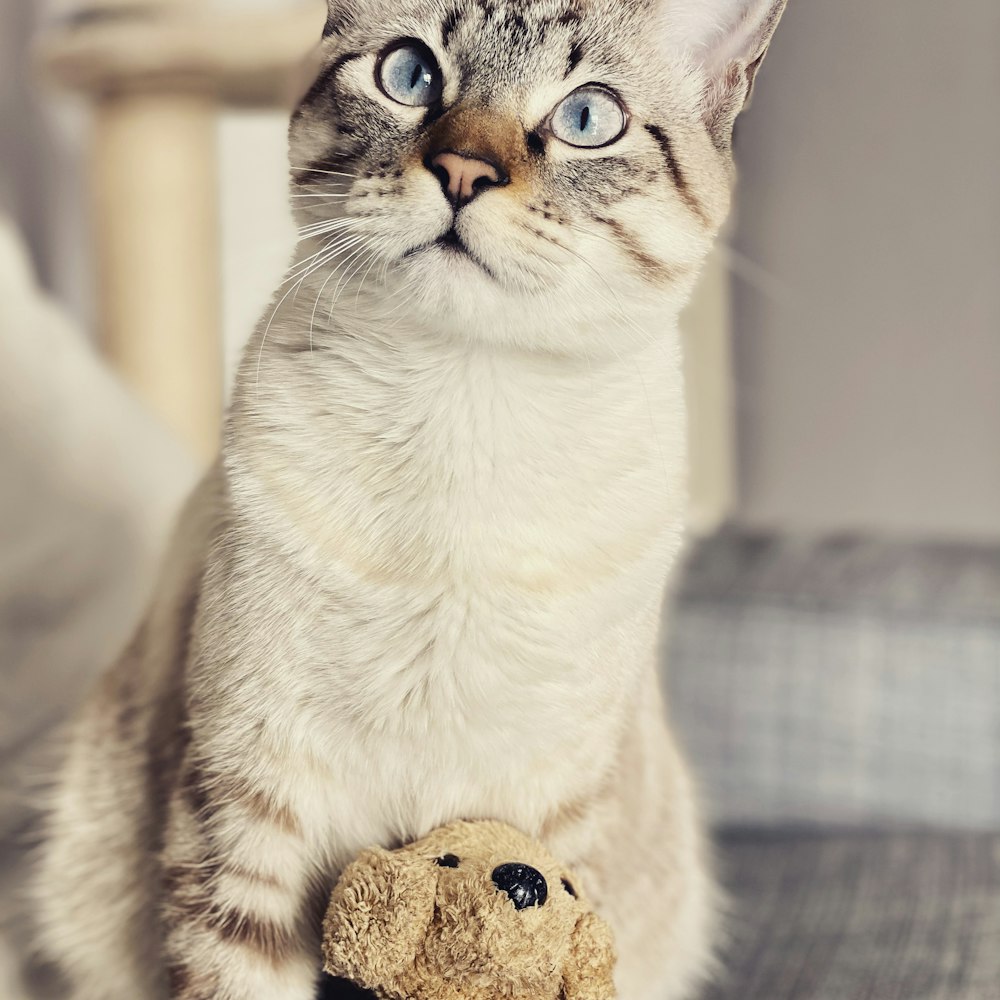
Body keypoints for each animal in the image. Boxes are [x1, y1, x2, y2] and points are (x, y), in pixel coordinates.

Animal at [35, 1, 788, 1000]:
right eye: (410, 75)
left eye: (587, 118)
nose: (463, 172)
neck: (461, 404)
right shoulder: (249, 804)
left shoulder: (552, 818)